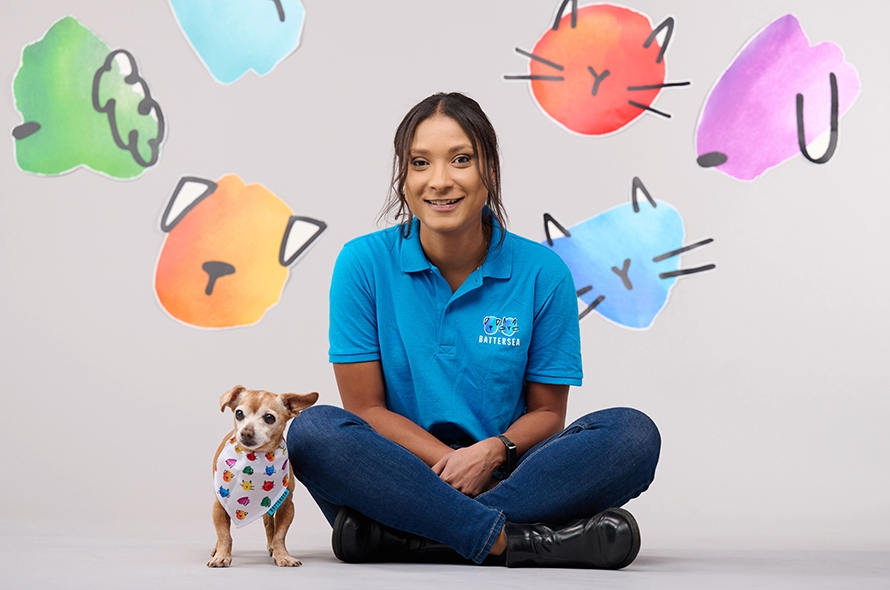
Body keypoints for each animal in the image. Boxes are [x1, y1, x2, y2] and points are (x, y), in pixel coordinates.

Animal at [208, 384, 320, 568]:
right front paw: (221, 555)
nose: (246, 432)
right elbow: (224, 534)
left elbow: (279, 535)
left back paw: (271, 547)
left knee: (269, 524)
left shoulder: (287, 506)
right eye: (239, 413)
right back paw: (216, 549)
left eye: (269, 418)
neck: (256, 457)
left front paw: (282, 555)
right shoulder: (220, 505)